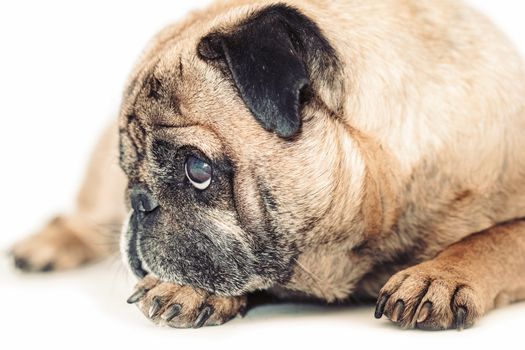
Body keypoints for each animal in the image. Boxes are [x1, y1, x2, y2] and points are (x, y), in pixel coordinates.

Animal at [9, 0, 525, 330]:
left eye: (198, 170)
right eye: (128, 170)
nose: (138, 200)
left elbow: (492, 238)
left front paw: (438, 276)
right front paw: (190, 290)